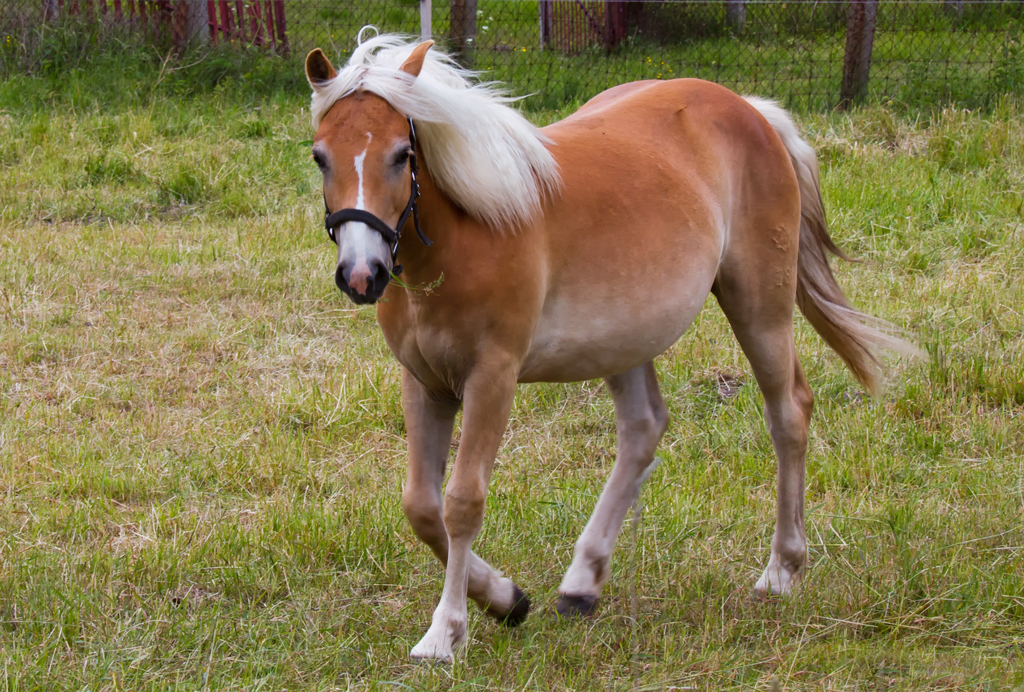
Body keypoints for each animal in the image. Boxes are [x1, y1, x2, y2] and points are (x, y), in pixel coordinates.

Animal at [299, 35, 917, 663]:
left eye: (402, 153)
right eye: (320, 156)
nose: (361, 274)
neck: (467, 233)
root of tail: (750, 110)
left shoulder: (491, 378)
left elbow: (461, 503)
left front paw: (445, 633)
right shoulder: (424, 383)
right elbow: (422, 508)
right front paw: (504, 598)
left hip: (759, 306)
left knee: (787, 411)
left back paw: (781, 571)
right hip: (624, 341)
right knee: (643, 429)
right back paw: (583, 581)